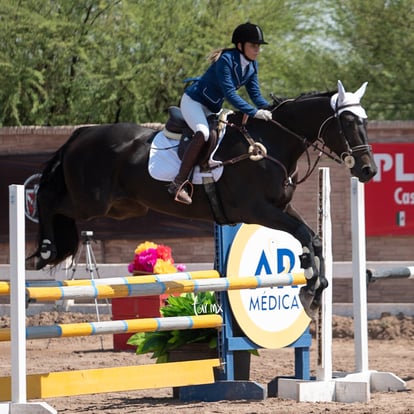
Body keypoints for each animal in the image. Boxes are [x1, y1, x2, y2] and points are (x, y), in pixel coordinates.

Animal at [29, 80, 378, 316]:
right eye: (348, 122)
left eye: (365, 121)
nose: (368, 170)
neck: (270, 144)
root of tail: (81, 133)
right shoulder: (258, 210)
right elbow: (305, 233)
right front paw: (311, 287)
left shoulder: (282, 206)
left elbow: (313, 238)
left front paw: (313, 287)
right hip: (91, 200)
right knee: (48, 199)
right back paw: (45, 250)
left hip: (121, 208)